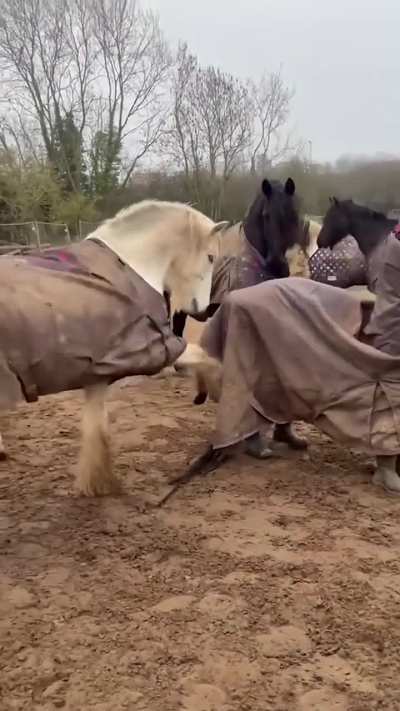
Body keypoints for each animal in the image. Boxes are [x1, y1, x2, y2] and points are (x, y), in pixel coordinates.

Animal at [0, 199, 229, 495]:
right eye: (211, 257)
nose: (201, 311)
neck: (133, 264)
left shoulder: (97, 367)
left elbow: (96, 425)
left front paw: (97, 482)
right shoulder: (156, 349)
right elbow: (206, 356)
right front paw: (214, 389)